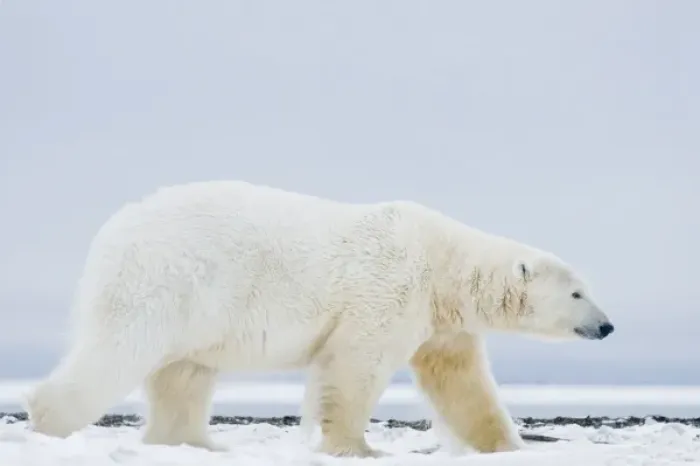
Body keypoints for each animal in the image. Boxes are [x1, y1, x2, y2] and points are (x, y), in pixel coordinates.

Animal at [25, 180, 614, 458]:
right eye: (579, 292)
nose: (608, 326)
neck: (441, 260)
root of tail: (111, 233)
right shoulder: (388, 290)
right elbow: (356, 364)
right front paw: (357, 447)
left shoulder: (441, 321)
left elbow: (461, 380)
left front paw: (507, 446)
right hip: (167, 283)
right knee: (122, 351)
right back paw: (48, 421)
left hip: (197, 312)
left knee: (184, 374)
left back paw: (198, 443)